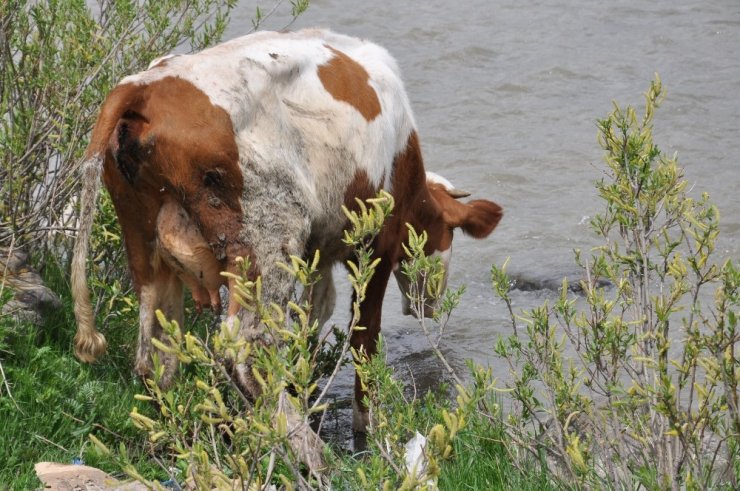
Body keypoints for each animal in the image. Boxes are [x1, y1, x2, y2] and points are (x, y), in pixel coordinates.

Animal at [71, 28, 502, 432]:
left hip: (144, 244)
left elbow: (314, 316)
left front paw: (306, 388)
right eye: (447, 236)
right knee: (242, 350)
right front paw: (368, 426)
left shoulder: (319, 250)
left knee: (155, 353)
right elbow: (364, 335)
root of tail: (143, 86)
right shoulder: (377, 243)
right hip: (268, 241)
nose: (427, 305)